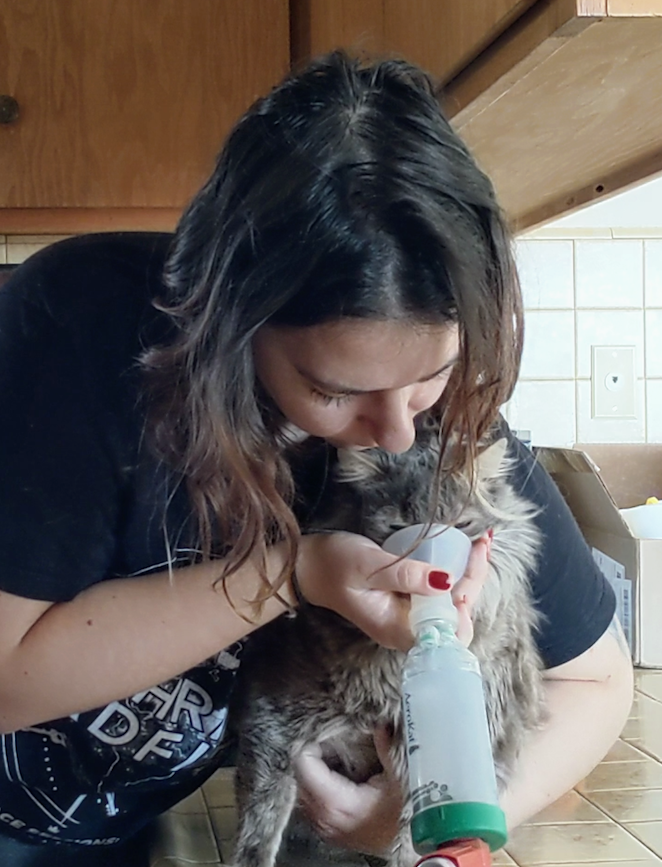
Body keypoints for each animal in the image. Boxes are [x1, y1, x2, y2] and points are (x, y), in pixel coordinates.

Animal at [231, 428, 548, 867]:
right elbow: (260, 822)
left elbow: (414, 837)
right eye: (399, 528)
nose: (437, 574)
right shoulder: (270, 718)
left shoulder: (489, 727)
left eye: (462, 524)